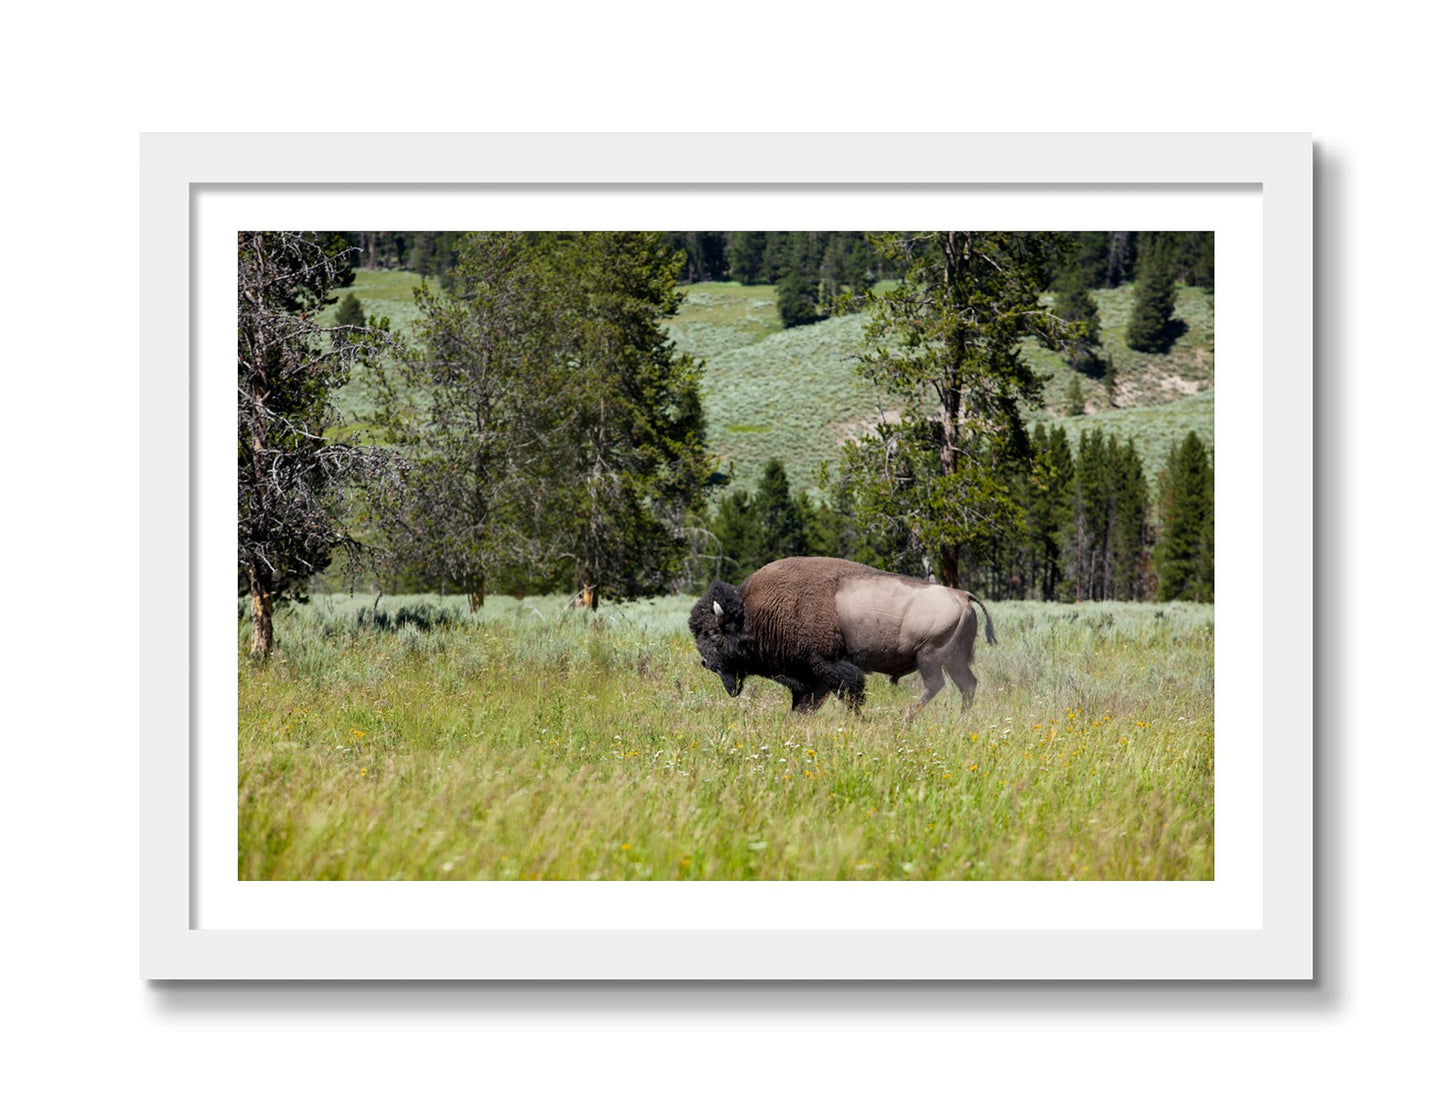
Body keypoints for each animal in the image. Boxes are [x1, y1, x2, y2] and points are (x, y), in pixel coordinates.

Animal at [688, 556, 996, 721]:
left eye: (711, 633)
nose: (705, 662)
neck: (753, 612)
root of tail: (962, 595)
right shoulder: (811, 677)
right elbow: (807, 702)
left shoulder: (828, 666)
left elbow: (850, 693)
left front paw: (860, 720)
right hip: (954, 660)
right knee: (967, 685)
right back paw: (961, 718)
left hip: (930, 656)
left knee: (936, 685)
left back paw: (905, 718)